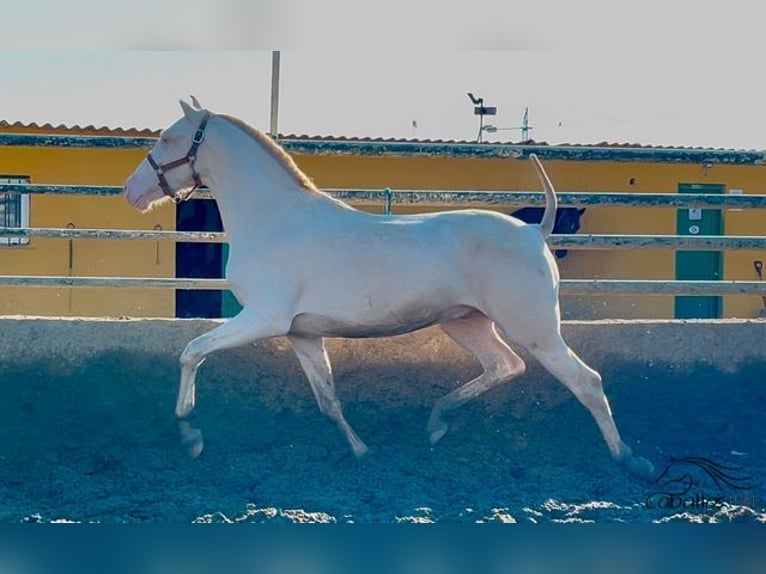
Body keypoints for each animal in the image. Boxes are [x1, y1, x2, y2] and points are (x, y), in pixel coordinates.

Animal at [124, 100, 656, 482]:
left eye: (168, 137)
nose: (131, 191)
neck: (274, 221)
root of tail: (534, 231)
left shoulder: (262, 319)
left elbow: (193, 351)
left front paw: (189, 432)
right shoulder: (301, 334)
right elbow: (328, 401)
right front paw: (362, 451)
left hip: (535, 329)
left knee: (586, 382)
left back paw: (631, 460)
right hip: (466, 323)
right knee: (505, 367)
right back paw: (438, 422)